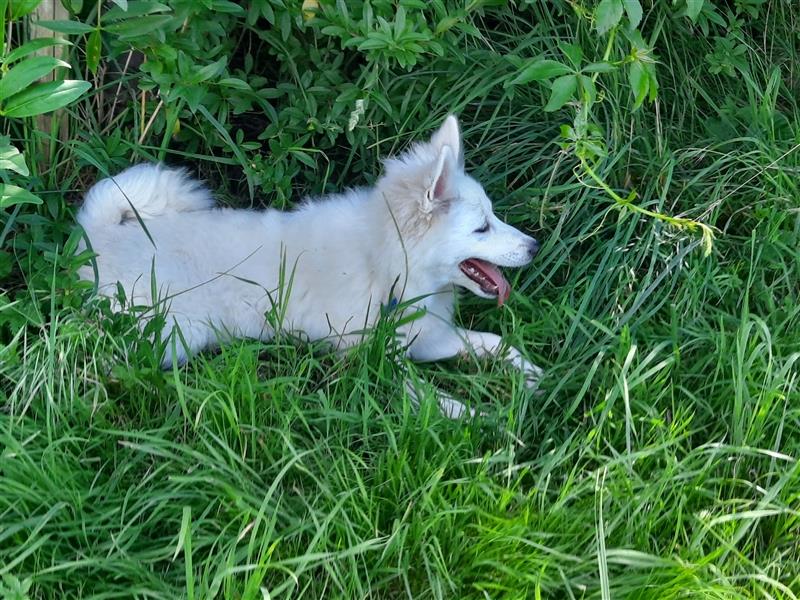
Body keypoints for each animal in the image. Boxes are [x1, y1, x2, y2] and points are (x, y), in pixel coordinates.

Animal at [78, 117, 544, 418]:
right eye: (482, 228)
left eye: (493, 216)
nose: (535, 247)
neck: (386, 264)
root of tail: (94, 237)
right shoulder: (373, 361)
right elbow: (431, 396)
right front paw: (481, 418)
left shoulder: (425, 337)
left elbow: (493, 342)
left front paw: (531, 376)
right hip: (168, 337)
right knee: (106, 362)